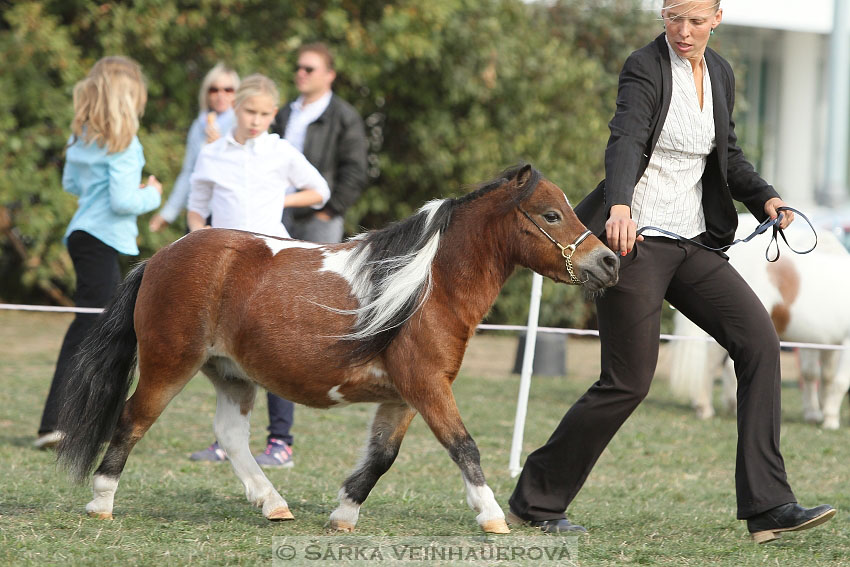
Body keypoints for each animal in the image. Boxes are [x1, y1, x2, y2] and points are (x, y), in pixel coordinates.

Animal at [58, 164, 616, 532]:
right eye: (551, 214)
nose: (608, 261)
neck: (426, 287)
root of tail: (158, 259)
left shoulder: (402, 396)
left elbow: (382, 457)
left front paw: (344, 512)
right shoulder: (428, 386)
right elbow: (464, 446)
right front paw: (493, 517)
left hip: (231, 374)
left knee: (231, 437)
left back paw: (272, 503)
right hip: (168, 365)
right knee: (132, 419)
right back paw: (101, 503)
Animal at [668, 219, 848, 430]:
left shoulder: (826, 342)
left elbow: (823, 376)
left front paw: (818, 413)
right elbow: (839, 381)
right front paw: (830, 420)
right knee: (717, 363)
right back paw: (710, 408)